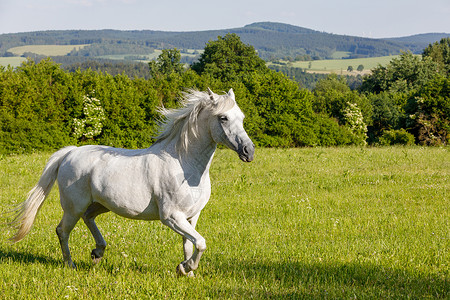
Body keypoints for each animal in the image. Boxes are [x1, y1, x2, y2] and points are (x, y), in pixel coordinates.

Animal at [9, 88, 253, 276]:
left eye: (241, 117)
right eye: (223, 117)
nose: (248, 151)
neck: (185, 165)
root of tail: (70, 152)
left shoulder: (191, 216)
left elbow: (190, 244)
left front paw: (187, 272)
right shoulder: (171, 217)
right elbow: (200, 243)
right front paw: (185, 268)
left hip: (100, 204)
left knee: (88, 218)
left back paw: (97, 252)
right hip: (73, 207)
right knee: (62, 230)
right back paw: (71, 264)